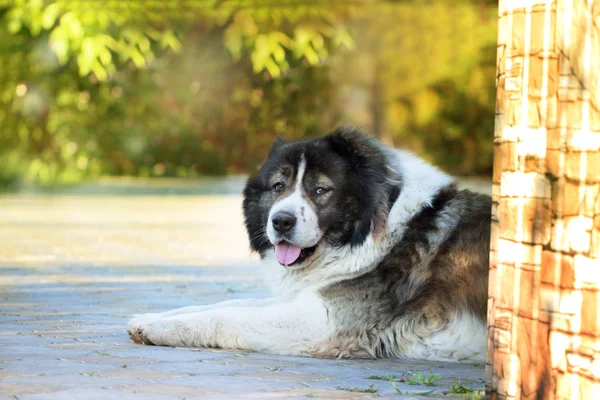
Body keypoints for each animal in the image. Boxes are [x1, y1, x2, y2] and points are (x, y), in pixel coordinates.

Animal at [127, 127, 492, 362]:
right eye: (278, 187)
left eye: (320, 190)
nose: (281, 221)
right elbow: (222, 304)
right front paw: (150, 318)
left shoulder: (324, 322)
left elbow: (227, 316)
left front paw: (160, 327)